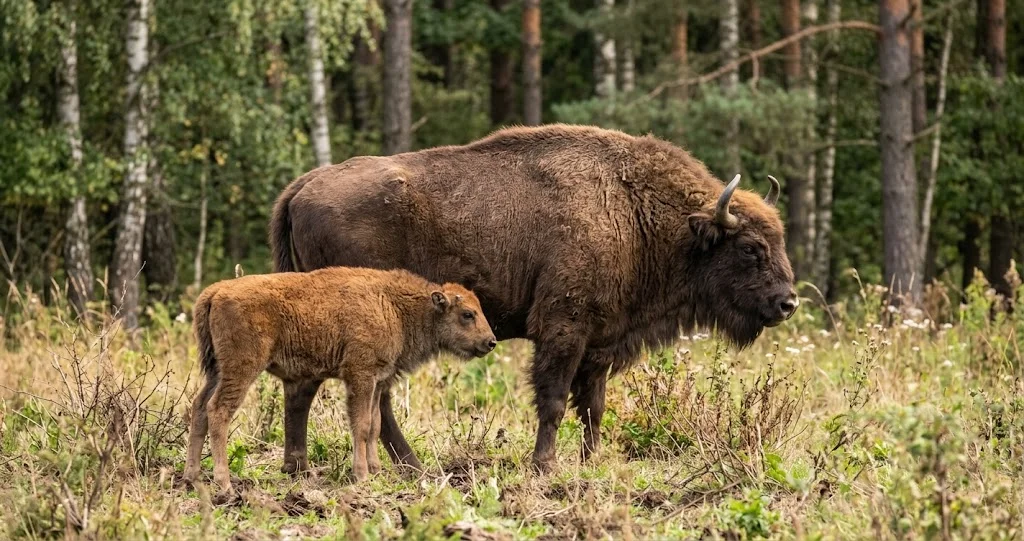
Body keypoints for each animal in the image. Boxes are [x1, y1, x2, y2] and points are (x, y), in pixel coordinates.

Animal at [269, 124, 798, 473]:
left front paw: (588, 464)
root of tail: (303, 187)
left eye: (780, 238)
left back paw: (302, 467)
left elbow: (593, 407)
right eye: (751, 248)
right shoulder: (563, 329)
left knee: (306, 389)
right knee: (371, 399)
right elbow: (555, 401)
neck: (636, 213)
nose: (788, 303)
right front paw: (544, 466)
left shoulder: (600, 340)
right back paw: (407, 466)